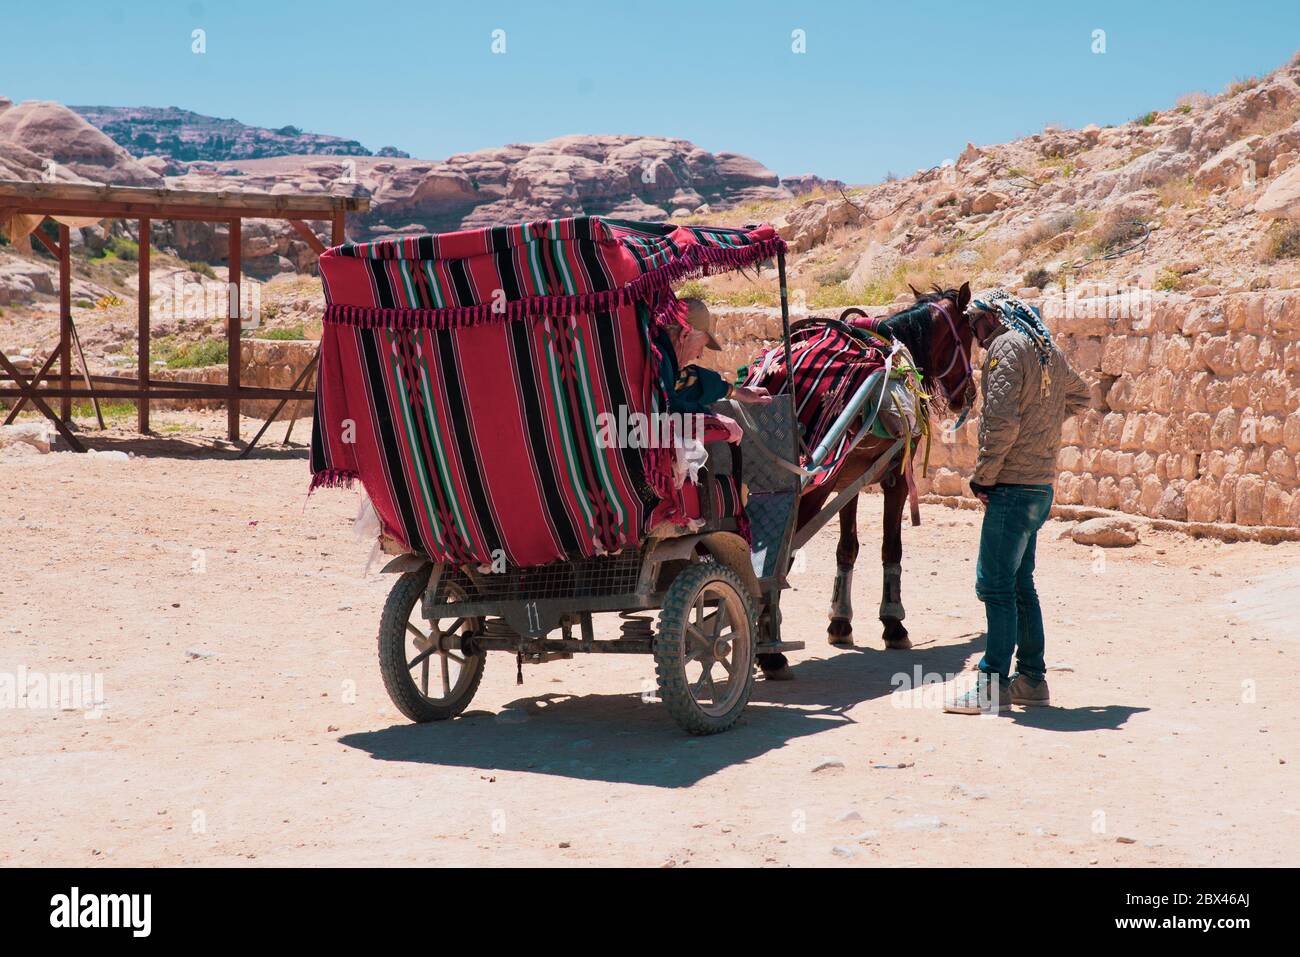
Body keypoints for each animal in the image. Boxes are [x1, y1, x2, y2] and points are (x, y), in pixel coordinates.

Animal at [780, 280, 977, 655]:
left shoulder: (850, 478)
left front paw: (840, 622)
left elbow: (847, 548)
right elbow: (891, 546)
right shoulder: (894, 475)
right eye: (969, 335)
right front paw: (894, 623)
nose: (970, 394)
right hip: (812, 486)